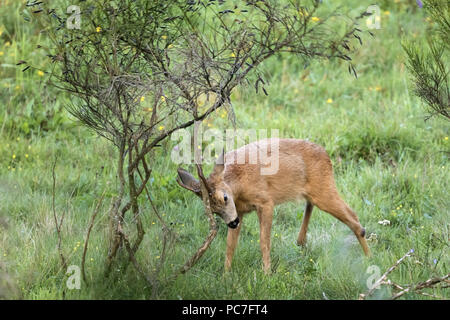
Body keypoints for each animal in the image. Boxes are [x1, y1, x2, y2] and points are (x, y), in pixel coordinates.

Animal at [178, 138, 370, 272]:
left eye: (225, 197)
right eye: (212, 210)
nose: (232, 223)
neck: (238, 184)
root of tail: (326, 155)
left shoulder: (266, 202)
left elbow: (264, 242)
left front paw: (267, 274)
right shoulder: (239, 211)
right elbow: (230, 245)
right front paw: (226, 276)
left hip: (324, 189)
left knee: (355, 219)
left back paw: (369, 260)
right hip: (315, 192)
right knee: (311, 208)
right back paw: (302, 242)